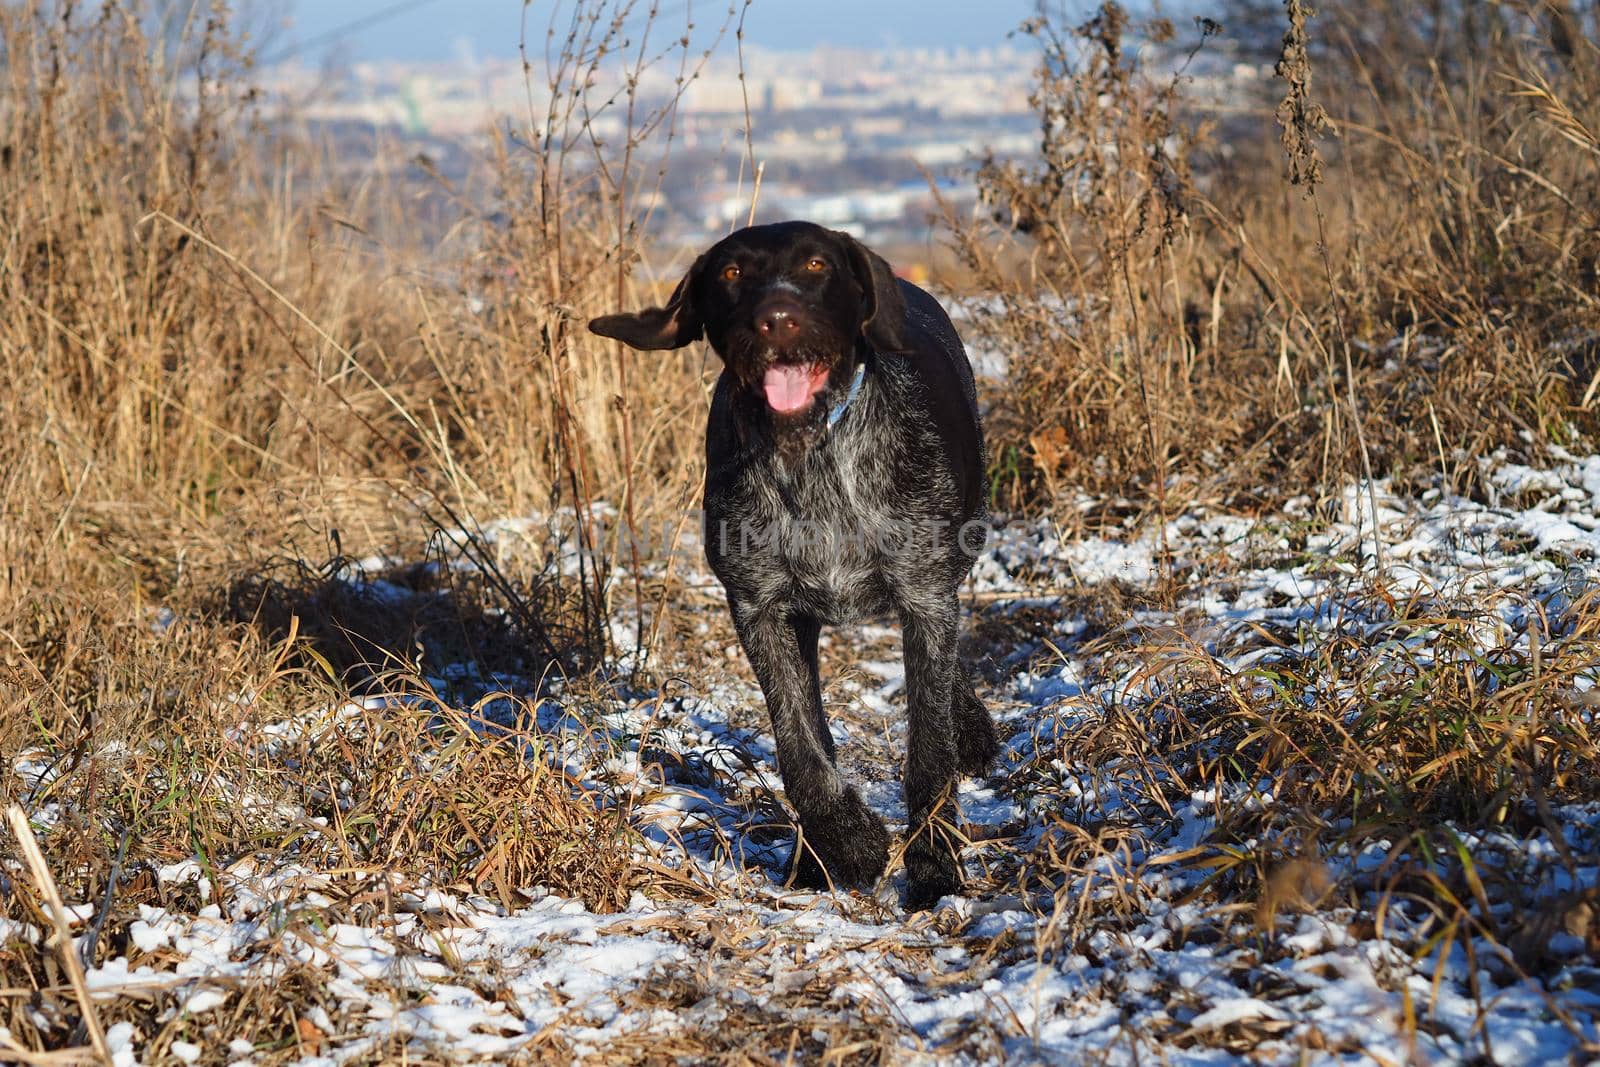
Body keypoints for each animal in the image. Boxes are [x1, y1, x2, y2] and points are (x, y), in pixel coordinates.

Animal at [588, 219, 992, 908]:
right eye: (731, 274)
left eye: (815, 264)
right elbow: (803, 753)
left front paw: (935, 868)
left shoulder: (923, 594)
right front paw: (843, 848)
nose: (777, 319)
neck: (810, 456)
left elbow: (929, 750)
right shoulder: (763, 610)